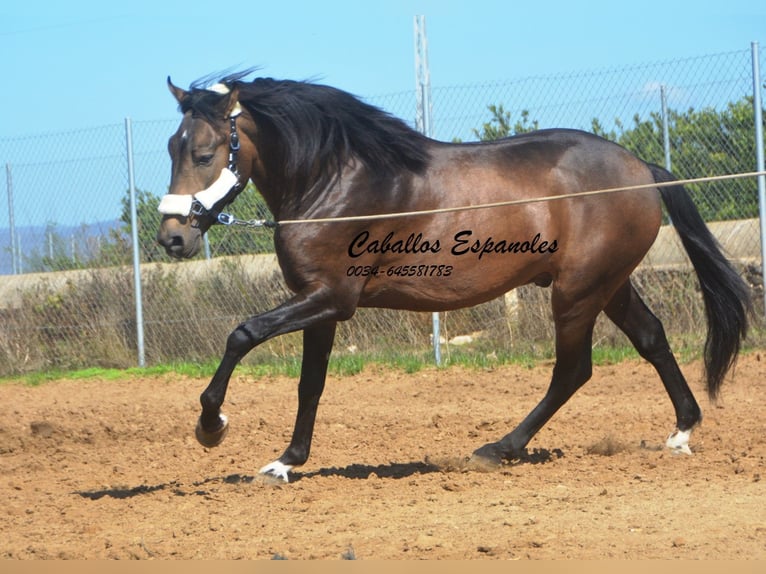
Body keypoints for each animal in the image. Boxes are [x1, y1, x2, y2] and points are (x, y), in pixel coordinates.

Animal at [154, 72, 752, 486]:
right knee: (651, 339)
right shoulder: (317, 301)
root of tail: (643, 171)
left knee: (572, 370)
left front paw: (211, 426)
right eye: (170, 147)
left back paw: (497, 449)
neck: (337, 180)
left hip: (578, 291)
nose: (172, 238)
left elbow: (243, 333)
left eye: (204, 152)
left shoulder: (333, 298)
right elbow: (310, 384)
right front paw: (285, 462)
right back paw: (681, 432)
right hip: (608, 285)